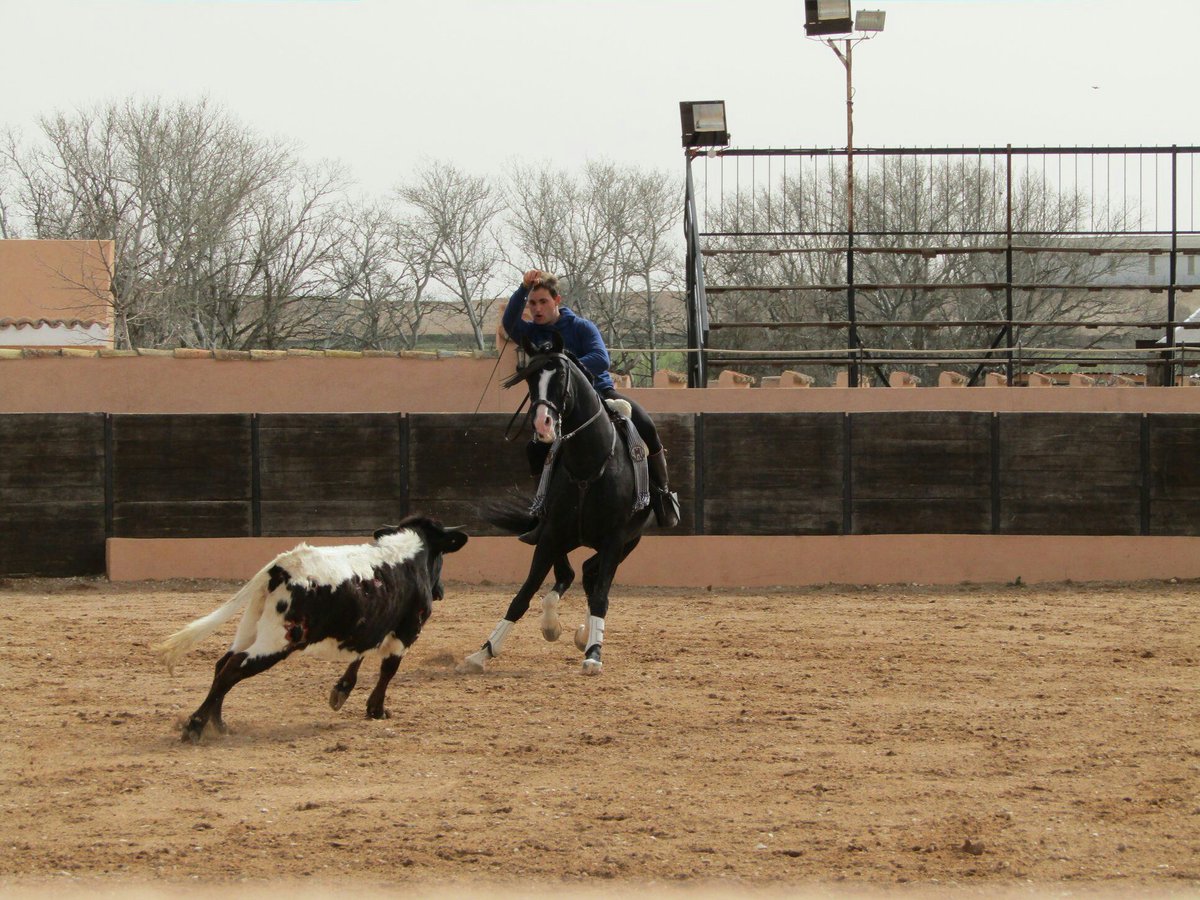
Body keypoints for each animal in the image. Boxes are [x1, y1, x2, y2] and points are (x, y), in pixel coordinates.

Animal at [459, 332, 651, 675]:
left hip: (629, 542)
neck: (589, 465)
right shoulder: (550, 535)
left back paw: (586, 637)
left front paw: (594, 654)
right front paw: (484, 651)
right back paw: (559, 627)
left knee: (590, 578)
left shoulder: (614, 539)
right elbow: (523, 594)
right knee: (574, 574)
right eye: (530, 378)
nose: (543, 424)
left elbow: (601, 596)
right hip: (564, 537)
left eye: (561, 376)